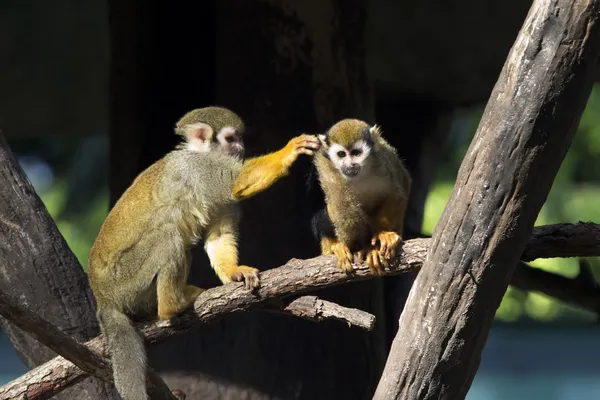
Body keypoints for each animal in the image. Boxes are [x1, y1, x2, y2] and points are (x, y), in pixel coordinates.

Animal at [87, 105, 322, 400]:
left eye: (240, 138)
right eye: (231, 138)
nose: (241, 147)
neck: (200, 153)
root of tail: (102, 297)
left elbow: (219, 236)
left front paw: (235, 273)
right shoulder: (200, 169)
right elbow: (237, 182)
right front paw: (290, 149)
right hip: (124, 279)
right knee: (169, 235)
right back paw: (171, 305)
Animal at [310, 118, 412, 276]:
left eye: (356, 153)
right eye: (341, 154)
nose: (349, 164)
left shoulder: (384, 162)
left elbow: (397, 194)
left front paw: (381, 236)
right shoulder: (327, 166)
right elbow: (339, 205)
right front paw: (363, 246)